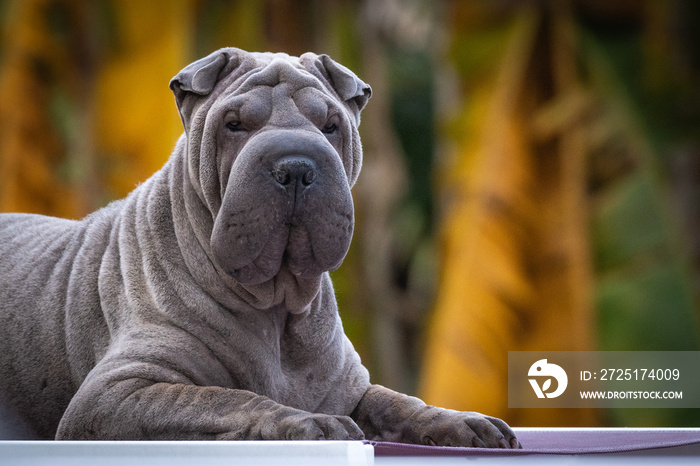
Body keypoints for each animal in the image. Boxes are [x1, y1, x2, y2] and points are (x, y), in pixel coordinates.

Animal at [0, 48, 520, 448]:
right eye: (234, 124)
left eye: (331, 125)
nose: (296, 166)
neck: (277, 308)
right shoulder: (113, 394)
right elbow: (220, 399)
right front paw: (309, 422)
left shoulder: (351, 386)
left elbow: (400, 402)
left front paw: (461, 422)